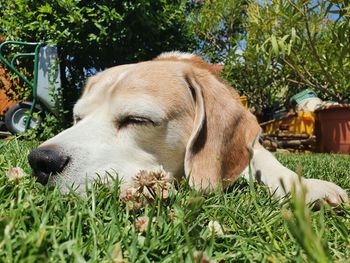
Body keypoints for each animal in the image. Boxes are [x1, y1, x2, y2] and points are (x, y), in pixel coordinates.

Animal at [27, 51, 348, 204]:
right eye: (78, 118)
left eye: (137, 120)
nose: (41, 161)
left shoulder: (255, 146)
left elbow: (273, 164)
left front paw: (310, 188)